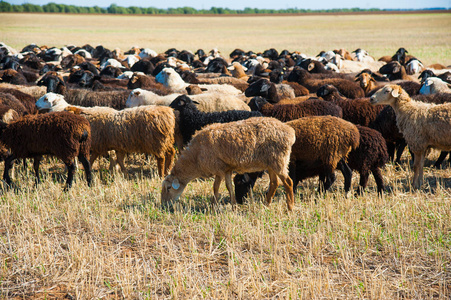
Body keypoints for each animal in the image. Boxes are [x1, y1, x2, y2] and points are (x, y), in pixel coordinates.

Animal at [161, 117, 298, 211]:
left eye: (168, 188)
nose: (164, 205)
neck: (195, 157)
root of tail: (290, 132)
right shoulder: (226, 169)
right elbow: (228, 186)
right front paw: (232, 206)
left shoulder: (218, 168)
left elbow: (216, 187)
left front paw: (213, 205)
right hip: (271, 163)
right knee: (275, 183)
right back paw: (266, 204)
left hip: (279, 160)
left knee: (288, 182)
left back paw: (290, 208)